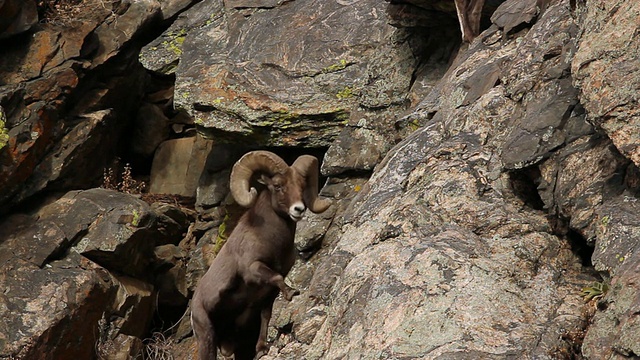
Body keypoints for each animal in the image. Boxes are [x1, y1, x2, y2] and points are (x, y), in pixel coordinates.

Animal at [190, 150, 332, 358]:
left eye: (302, 185)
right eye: (278, 186)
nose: (298, 209)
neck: (272, 241)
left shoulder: (266, 296)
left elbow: (266, 315)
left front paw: (262, 349)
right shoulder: (253, 268)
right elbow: (276, 276)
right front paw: (292, 292)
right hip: (207, 336)